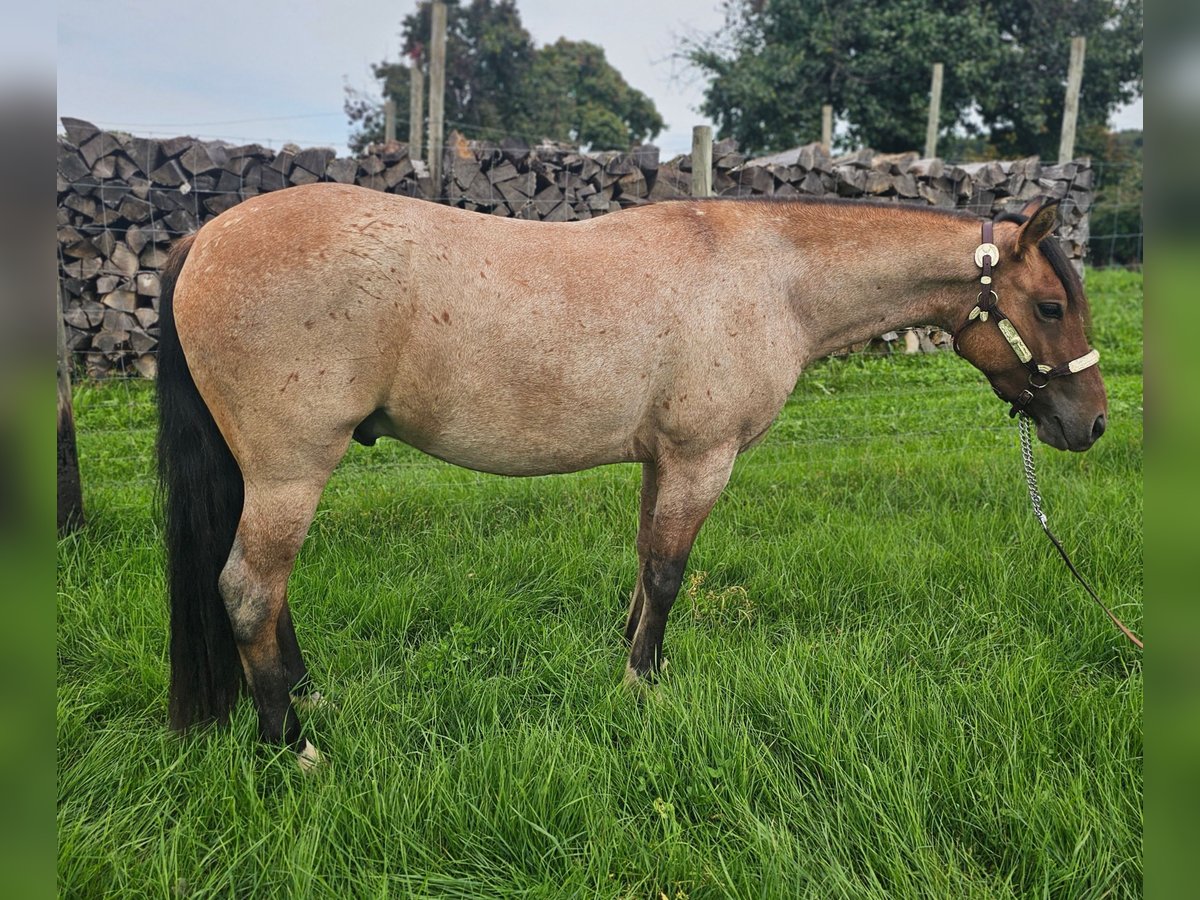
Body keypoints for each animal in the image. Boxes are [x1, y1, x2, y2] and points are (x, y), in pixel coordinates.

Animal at [156, 184, 1106, 767]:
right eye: (1050, 306)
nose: (1091, 423)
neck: (771, 278)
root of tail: (205, 236)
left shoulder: (663, 461)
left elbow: (647, 566)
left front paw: (637, 658)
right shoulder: (701, 458)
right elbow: (671, 571)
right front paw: (643, 689)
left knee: (265, 591)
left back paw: (307, 697)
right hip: (289, 475)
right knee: (249, 589)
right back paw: (292, 745)